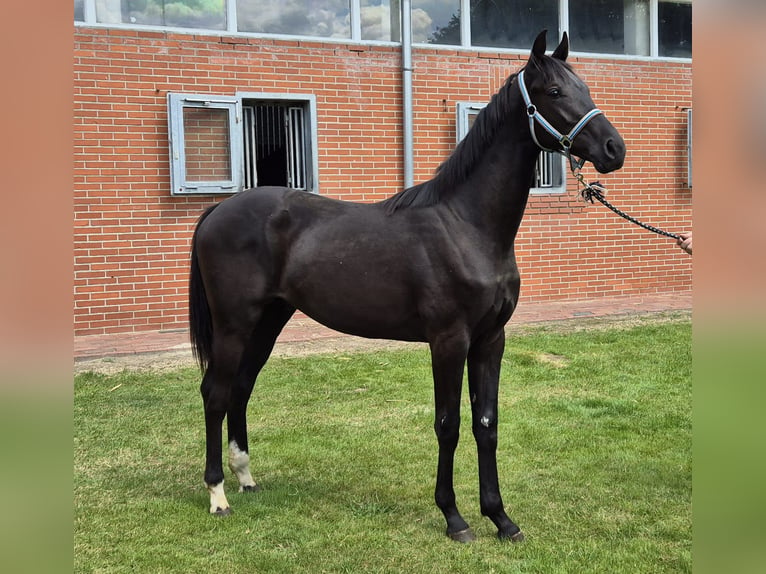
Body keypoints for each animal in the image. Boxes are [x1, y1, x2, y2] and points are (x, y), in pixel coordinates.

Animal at [189, 30, 628, 544]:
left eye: (585, 89)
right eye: (554, 92)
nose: (614, 148)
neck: (468, 225)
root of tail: (219, 210)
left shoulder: (490, 340)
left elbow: (486, 424)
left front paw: (501, 519)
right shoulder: (448, 341)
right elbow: (448, 425)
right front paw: (455, 518)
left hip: (269, 320)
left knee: (240, 388)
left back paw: (246, 478)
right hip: (235, 323)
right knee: (216, 393)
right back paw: (217, 495)